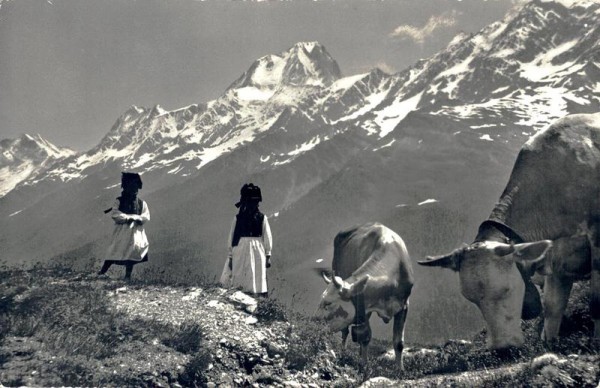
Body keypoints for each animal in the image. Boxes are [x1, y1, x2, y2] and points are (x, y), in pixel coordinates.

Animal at [316, 221, 414, 366]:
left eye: (328, 303)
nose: (314, 322)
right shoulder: (363, 308)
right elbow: (365, 337)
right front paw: (364, 366)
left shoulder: (404, 305)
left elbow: (399, 343)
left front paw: (400, 369)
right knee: (346, 332)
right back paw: (343, 354)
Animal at [418, 113, 600, 350]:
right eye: (471, 299)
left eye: (506, 289)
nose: (502, 349)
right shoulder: (557, 259)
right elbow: (552, 308)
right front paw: (549, 344)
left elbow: (596, 301)